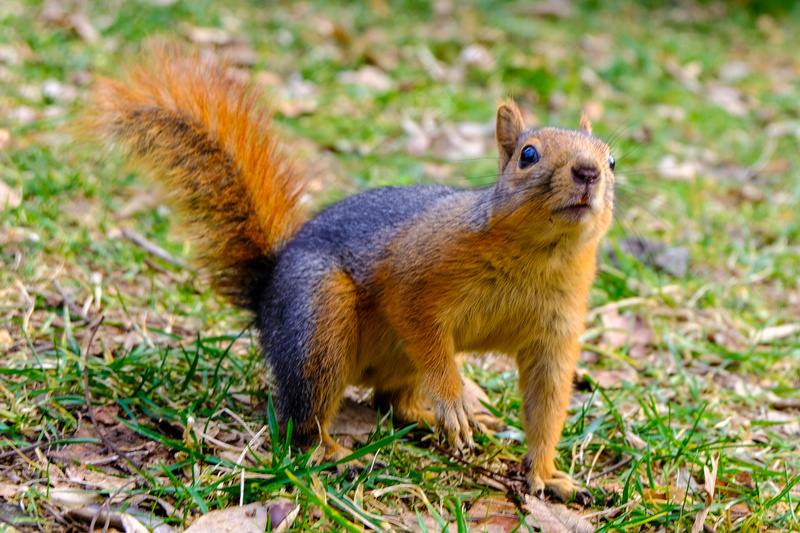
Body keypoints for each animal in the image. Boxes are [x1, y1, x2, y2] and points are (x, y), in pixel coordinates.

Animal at [86, 47, 612, 500]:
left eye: (611, 159)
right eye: (528, 154)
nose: (589, 172)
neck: (538, 257)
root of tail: (266, 293)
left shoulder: (556, 331)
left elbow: (547, 401)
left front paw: (547, 474)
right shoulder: (419, 269)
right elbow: (418, 320)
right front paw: (453, 398)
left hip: (392, 360)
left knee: (390, 401)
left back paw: (426, 418)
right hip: (319, 319)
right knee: (301, 418)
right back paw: (335, 451)